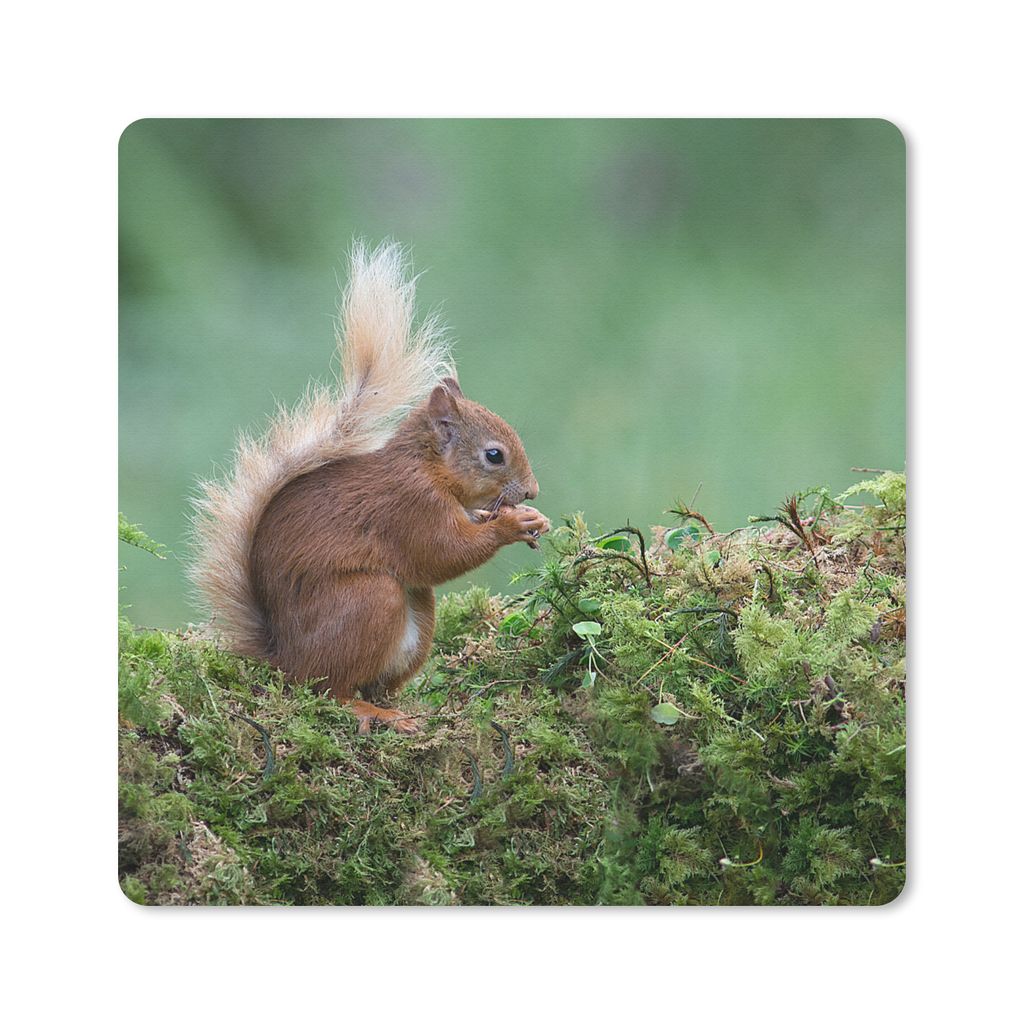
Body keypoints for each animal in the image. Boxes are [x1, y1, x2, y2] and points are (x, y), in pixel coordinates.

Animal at [190, 242, 549, 734]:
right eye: (494, 455)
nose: (532, 491)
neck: (428, 468)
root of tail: (284, 660)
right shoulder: (409, 506)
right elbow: (442, 553)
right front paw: (510, 525)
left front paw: (524, 519)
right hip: (368, 601)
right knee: (329, 689)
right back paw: (370, 712)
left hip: (417, 619)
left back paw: (397, 708)